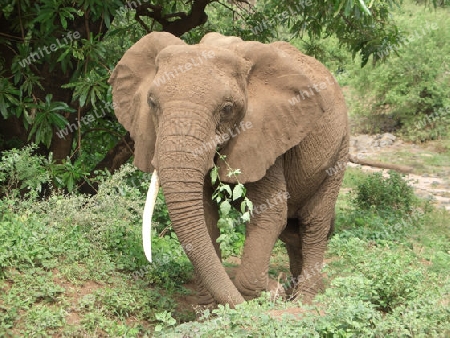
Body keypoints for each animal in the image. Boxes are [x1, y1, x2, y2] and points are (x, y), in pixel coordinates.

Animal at [107, 31, 354, 306]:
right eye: (151, 103)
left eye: (227, 109)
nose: (274, 288)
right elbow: (205, 216)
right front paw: (211, 309)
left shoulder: (265, 135)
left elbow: (270, 211)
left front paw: (260, 296)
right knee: (292, 231)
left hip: (340, 148)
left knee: (314, 222)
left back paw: (305, 300)